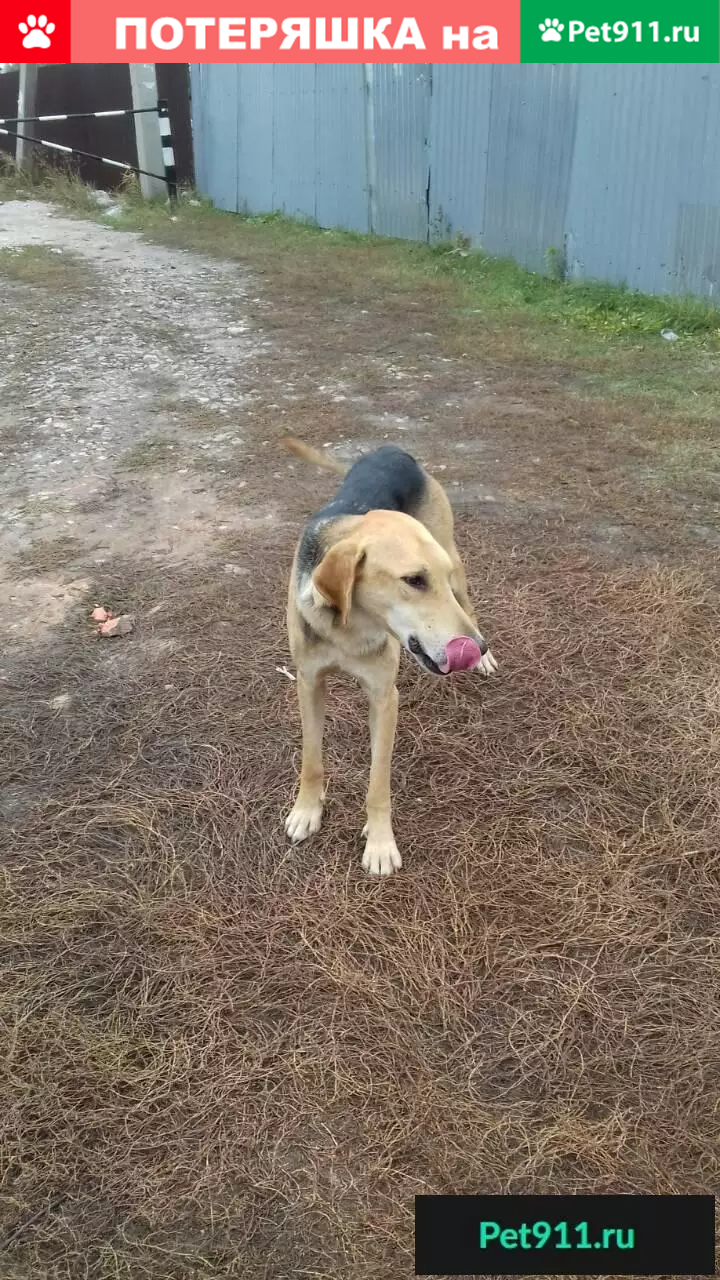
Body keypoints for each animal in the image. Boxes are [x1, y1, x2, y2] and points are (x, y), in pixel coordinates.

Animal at [283, 435, 497, 875]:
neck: (349, 629)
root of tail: (393, 450)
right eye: (413, 580)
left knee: (470, 603)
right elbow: (312, 760)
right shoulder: (309, 683)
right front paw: (306, 810)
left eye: (433, 579)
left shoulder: (384, 697)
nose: (477, 647)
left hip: (455, 559)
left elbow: (378, 783)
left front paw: (380, 844)